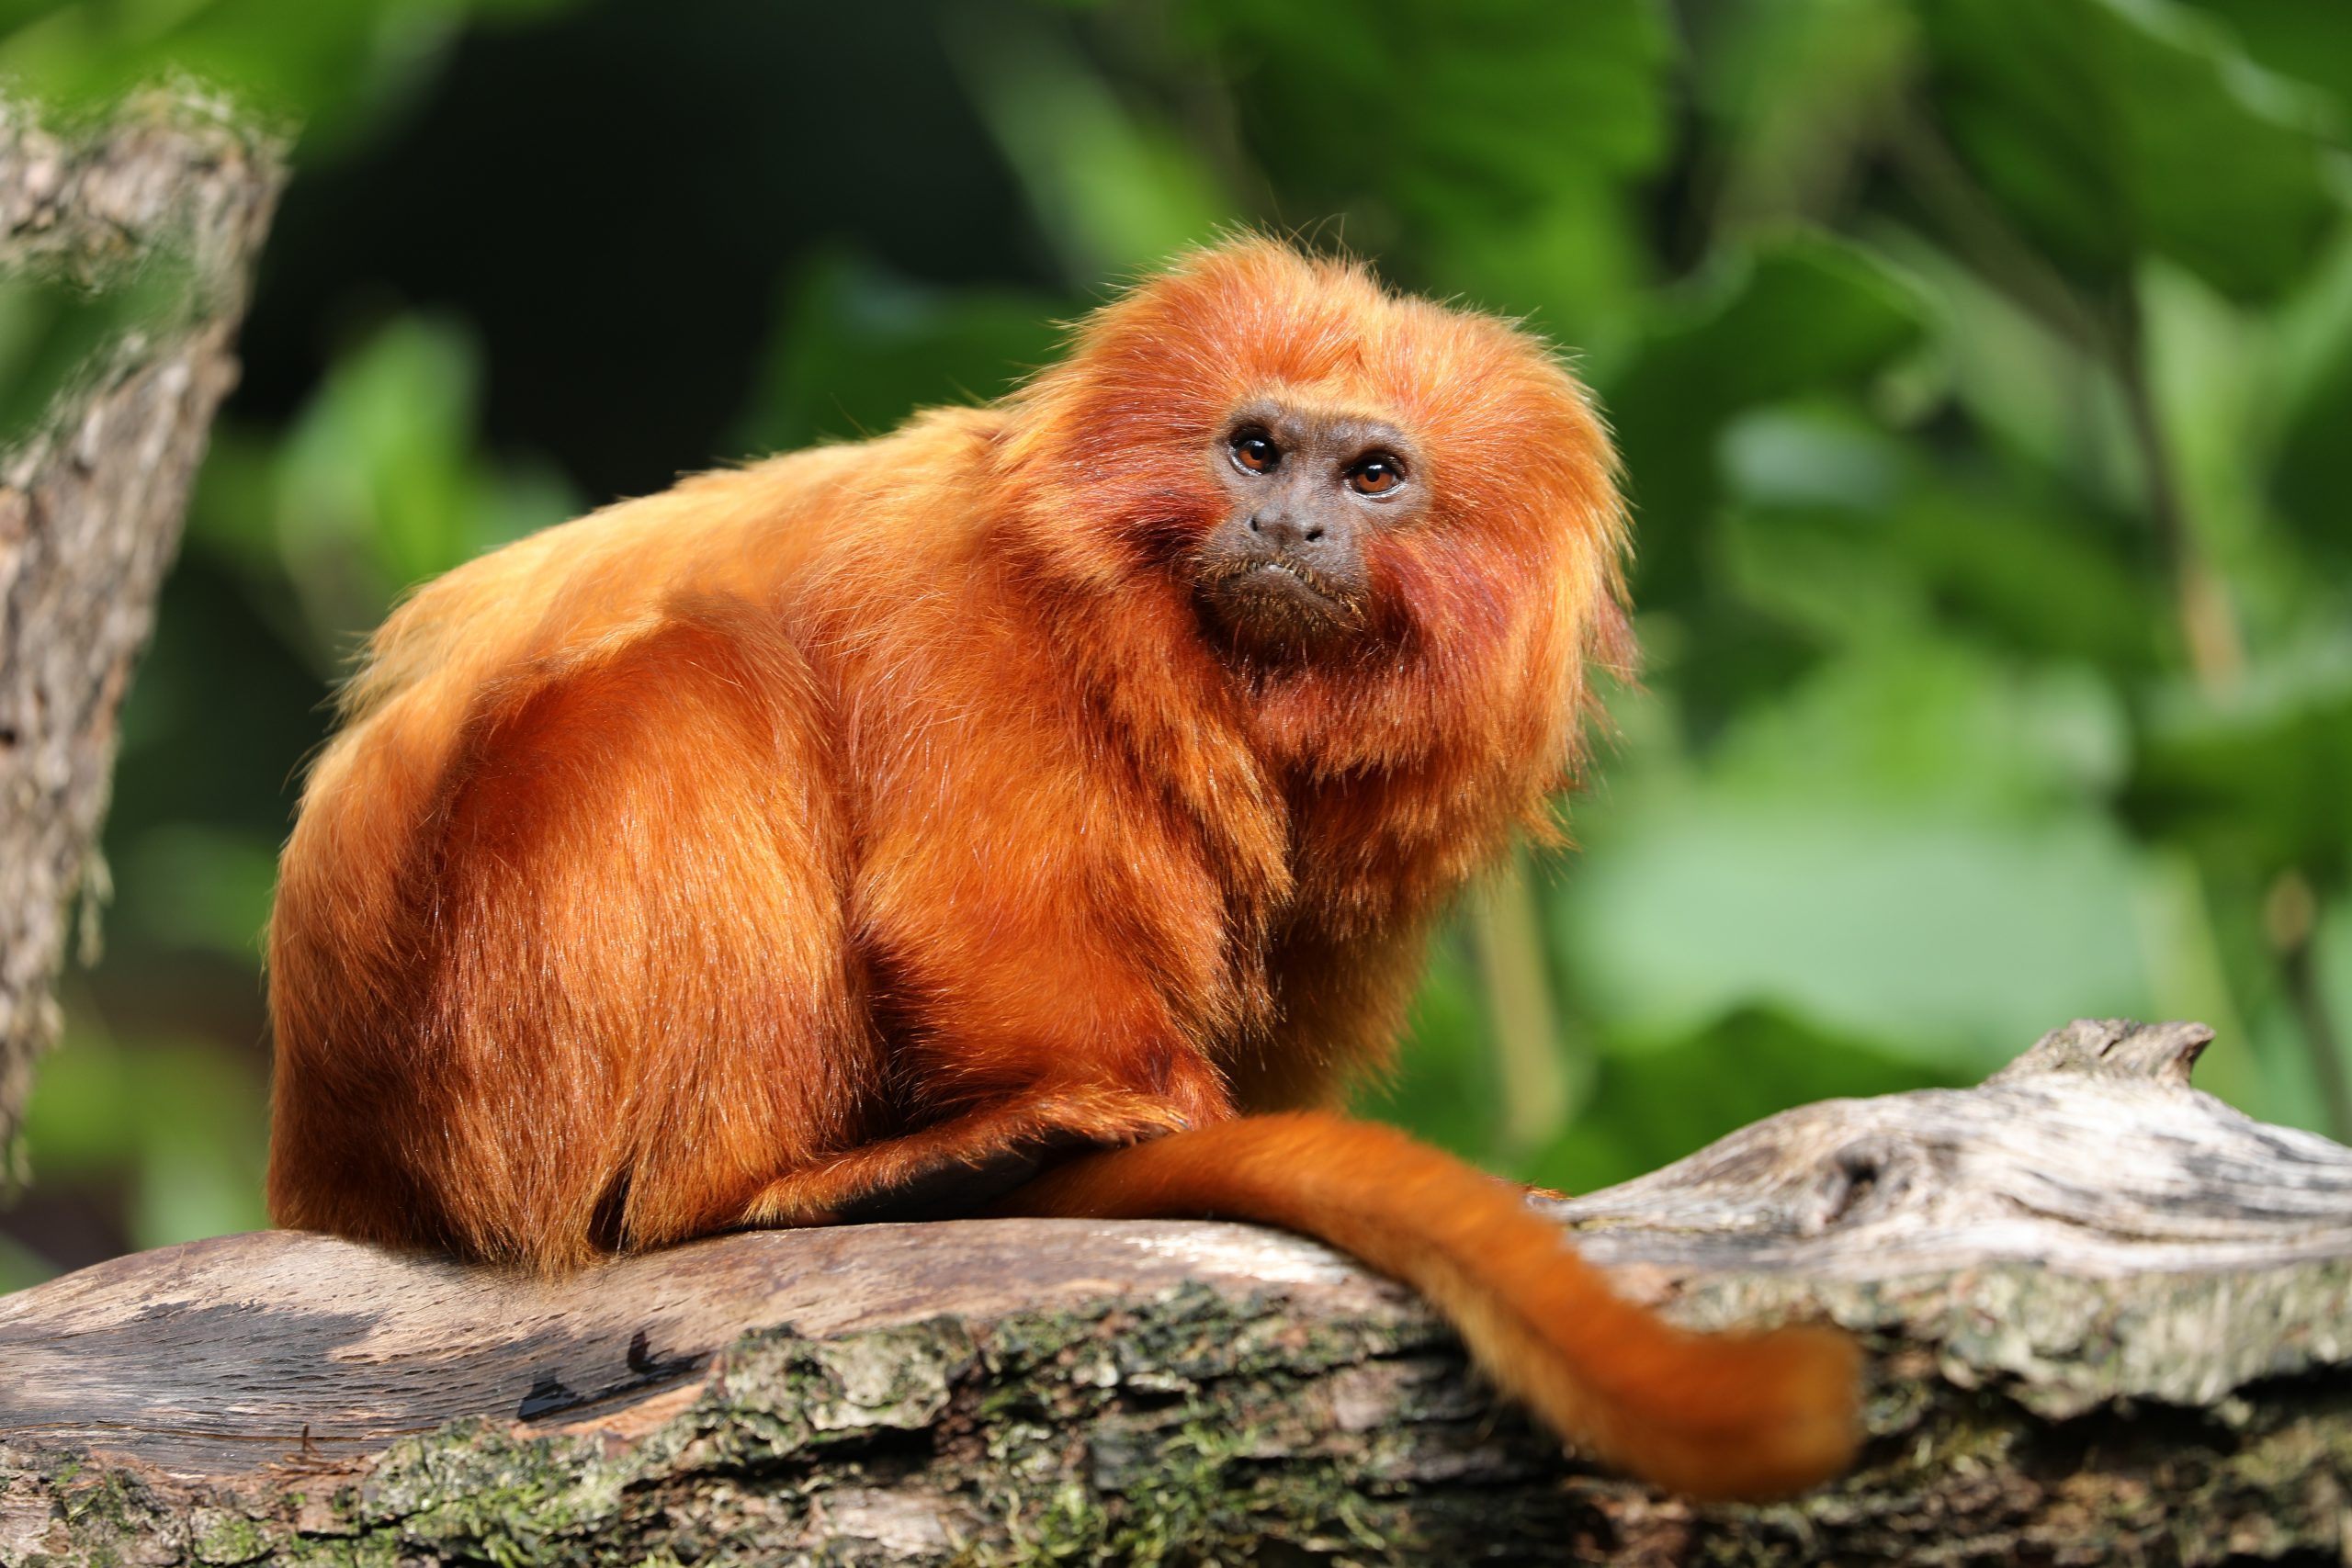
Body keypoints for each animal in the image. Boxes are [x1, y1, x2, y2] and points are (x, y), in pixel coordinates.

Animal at [270, 240, 1853, 1504]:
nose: (1291, 525)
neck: (1195, 670)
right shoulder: (967, 602)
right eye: (1256, 451)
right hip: (482, 1057)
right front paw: (1126, 1114)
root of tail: (324, 1145)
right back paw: (792, 1186)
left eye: (1374, 474)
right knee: (690, 685)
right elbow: (983, 915)